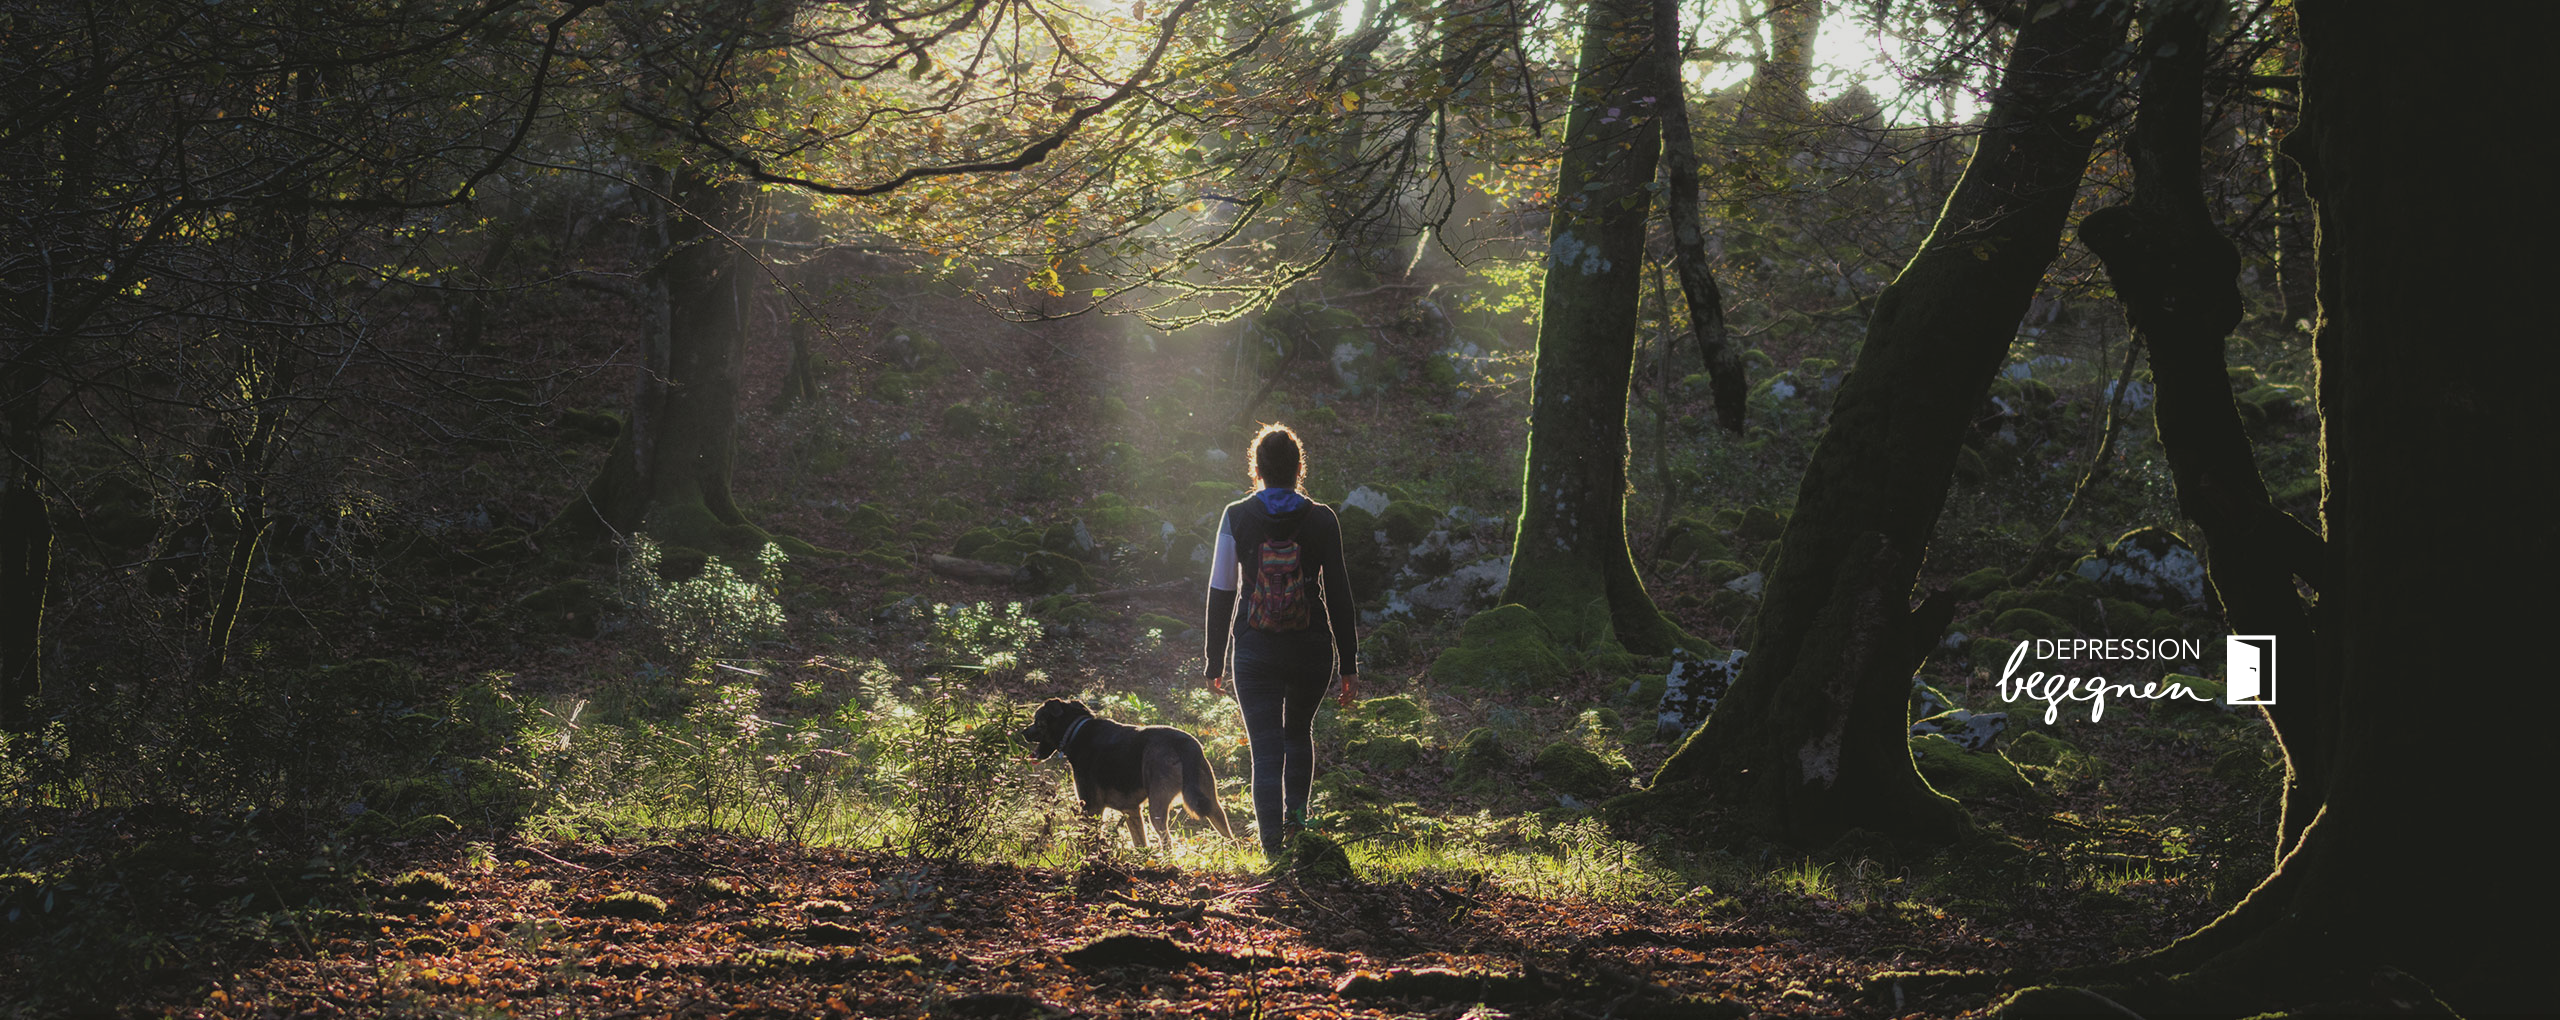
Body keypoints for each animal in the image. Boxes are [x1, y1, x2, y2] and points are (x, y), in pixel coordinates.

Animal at [1013, 697, 1233, 850]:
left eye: (1037, 720)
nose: (1023, 732)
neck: (1076, 730)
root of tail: (1186, 744)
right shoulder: (1131, 810)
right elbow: (1140, 843)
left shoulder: (1091, 807)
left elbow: (1089, 839)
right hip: (1211, 802)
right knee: (1228, 834)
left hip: (1157, 807)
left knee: (1167, 840)